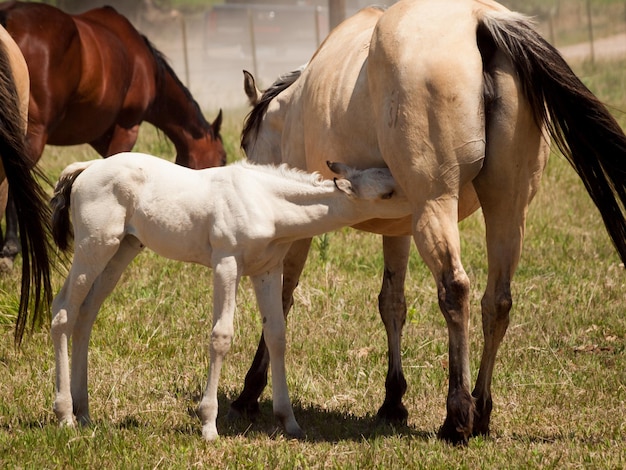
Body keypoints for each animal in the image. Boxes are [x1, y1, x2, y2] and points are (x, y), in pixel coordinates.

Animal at [50, 151, 410, 440]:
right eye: (388, 192)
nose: (417, 203)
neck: (266, 203)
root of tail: (88, 167)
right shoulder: (226, 263)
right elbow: (221, 336)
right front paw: (209, 424)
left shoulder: (268, 270)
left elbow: (277, 335)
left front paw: (289, 422)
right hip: (94, 246)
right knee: (64, 310)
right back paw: (65, 415)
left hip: (122, 249)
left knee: (87, 312)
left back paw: (84, 413)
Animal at [233, 1, 624, 444]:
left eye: (245, 142)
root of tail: (480, 21)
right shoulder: (398, 228)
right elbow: (392, 302)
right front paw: (393, 401)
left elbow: (281, 299)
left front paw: (250, 389)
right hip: (505, 208)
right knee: (497, 301)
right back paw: (481, 410)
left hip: (435, 206)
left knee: (455, 290)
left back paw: (457, 416)